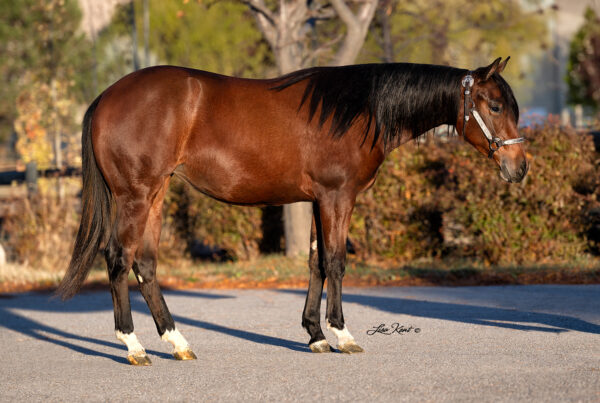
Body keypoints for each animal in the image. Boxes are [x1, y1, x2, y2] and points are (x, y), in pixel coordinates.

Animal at [55, 57, 524, 366]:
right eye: (495, 107)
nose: (519, 168)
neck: (358, 109)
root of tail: (106, 97)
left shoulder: (318, 200)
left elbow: (316, 263)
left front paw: (315, 335)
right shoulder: (337, 197)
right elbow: (336, 262)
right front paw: (342, 334)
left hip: (156, 194)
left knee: (146, 266)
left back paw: (178, 343)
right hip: (135, 195)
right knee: (118, 260)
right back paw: (133, 347)